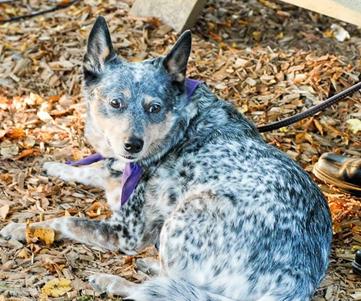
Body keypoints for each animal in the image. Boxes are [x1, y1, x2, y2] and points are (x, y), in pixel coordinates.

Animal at [0, 17, 332, 300]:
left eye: (154, 107)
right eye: (115, 103)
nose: (133, 145)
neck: (179, 127)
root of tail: (296, 280)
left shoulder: (127, 233)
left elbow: (68, 220)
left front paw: (26, 228)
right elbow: (93, 169)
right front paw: (57, 167)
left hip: (186, 213)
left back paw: (115, 280)